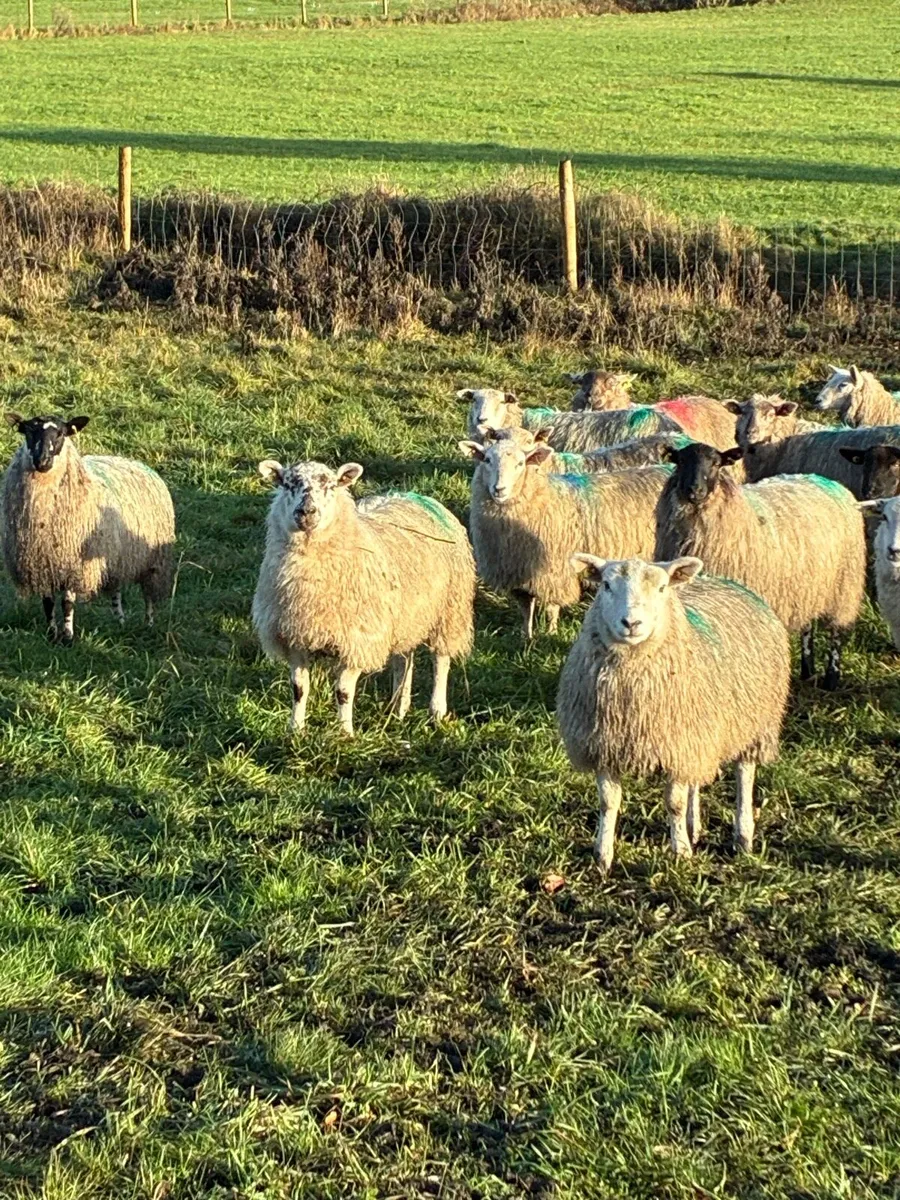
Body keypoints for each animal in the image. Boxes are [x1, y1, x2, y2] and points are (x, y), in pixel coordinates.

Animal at [1, 413, 175, 641]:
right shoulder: (42, 562)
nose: (42, 461)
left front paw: (67, 637)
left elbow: (67, 603)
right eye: (29, 431)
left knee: (149, 596)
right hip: (115, 556)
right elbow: (48, 603)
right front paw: (51, 634)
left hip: (153, 561)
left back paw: (149, 624)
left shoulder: (74, 564)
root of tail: (132, 460)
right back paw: (120, 622)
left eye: (61, 433)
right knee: (116, 590)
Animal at [252, 459, 475, 736]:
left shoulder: (357, 639)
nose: (307, 512)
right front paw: (296, 730)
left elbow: (343, 692)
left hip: (450, 611)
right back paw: (398, 708)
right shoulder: (294, 638)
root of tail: (412, 494)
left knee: (441, 660)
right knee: (404, 659)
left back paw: (437, 711)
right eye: (287, 484)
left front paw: (345, 733)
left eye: (331, 486)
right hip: (407, 615)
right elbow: (299, 689)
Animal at [458, 433, 671, 638]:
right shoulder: (518, 571)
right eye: (487, 460)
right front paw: (525, 636)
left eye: (520, 463)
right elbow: (526, 608)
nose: (499, 489)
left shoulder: (555, 571)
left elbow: (552, 608)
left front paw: (551, 633)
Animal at [557, 555, 790, 872]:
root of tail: (719, 578)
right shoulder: (605, 745)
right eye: (606, 585)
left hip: (754, 724)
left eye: (662, 587)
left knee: (744, 776)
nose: (632, 623)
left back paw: (742, 837)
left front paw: (680, 852)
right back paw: (694, 827)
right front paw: (602, 856)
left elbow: (674, 803)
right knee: (696, 779)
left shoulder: (679, 743)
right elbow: (608, 802)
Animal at [656, 442, 866, 689]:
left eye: (716, 463)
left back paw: (831, 678)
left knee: (837, 631)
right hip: (807, 584)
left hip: (845, 583)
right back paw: (807, 670)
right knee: (807, 627)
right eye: (680, 461)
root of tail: (826, 480)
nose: (694, 491)